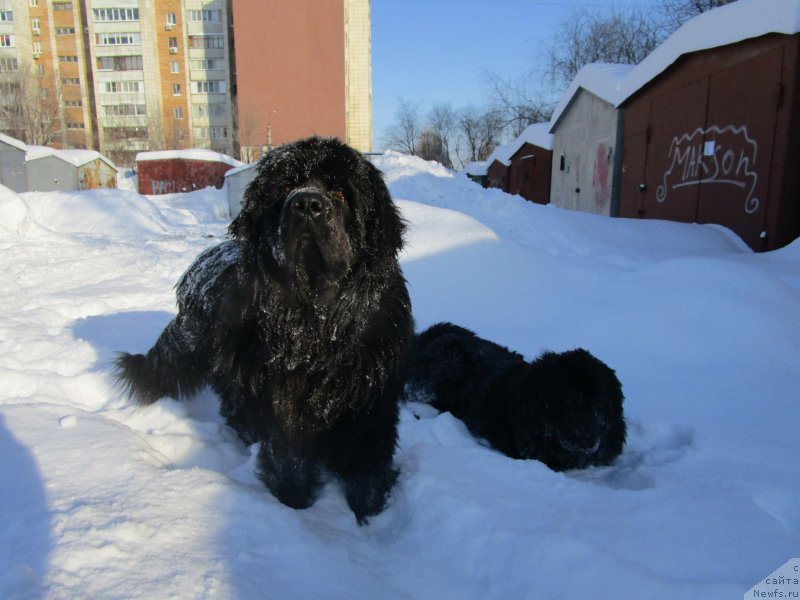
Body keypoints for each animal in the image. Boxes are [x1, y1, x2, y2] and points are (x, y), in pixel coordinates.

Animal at [116, 138, 416, 524]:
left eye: (339, 191)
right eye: (287, 187)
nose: (307, 204)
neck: (317, 323)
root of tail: (197, 267)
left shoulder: (370, 401)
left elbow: (368, 463)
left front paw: (370, 517)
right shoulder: (283, 399)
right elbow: (288, 456)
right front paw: (295, 507)